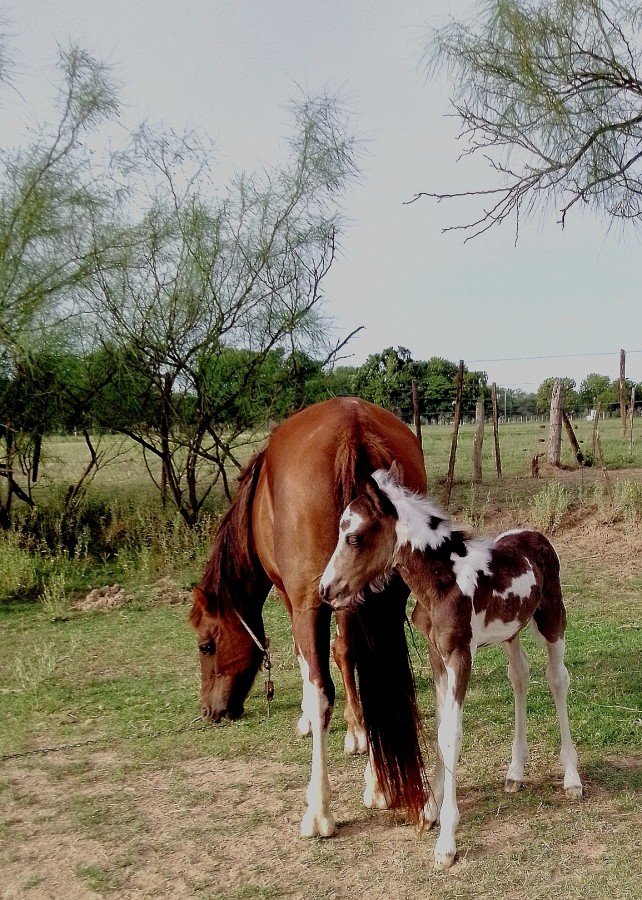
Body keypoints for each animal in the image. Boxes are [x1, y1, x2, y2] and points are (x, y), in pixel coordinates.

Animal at [191, 400, 430, 836]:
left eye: (206, 646)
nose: (209, 712)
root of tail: (353, 427)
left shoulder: (295, 598)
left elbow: (309, 664)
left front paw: (307, 719)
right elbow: (347, 653)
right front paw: (359, 736)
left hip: (310, 602)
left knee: (323, 693)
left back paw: (319, 811)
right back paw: (383, 786)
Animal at [318, 468, 584, 868]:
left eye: (354, 537)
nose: (326, 590)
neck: (442, 582)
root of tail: (535, 535)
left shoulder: (461, 655)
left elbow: (451, 735)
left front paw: (447, 840)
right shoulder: (436, 654)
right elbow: (442, 723)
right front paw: (430, 808)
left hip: (553, 618)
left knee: (557, 679)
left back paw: (571, 778)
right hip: (510, 633)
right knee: (519, 677)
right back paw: (515, 773)